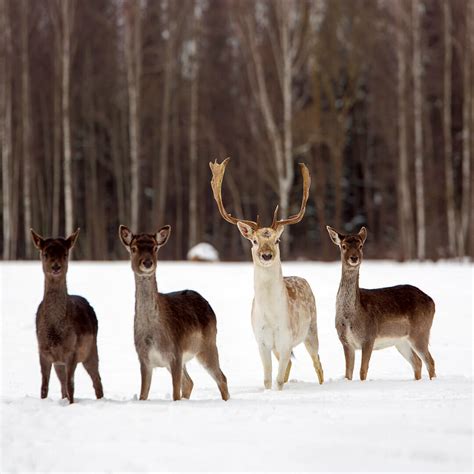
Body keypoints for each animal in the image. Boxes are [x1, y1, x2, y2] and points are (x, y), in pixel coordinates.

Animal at [30, 229, 103, 404]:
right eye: (45, 253)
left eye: (65, 253)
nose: (56, 266)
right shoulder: (43, 350)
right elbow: (44, 387)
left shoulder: (72, 351)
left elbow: (71, 387)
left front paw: (71, 404)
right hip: (60, 362)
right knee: (62, 384)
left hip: (91, 350)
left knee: (97, 380)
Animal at [118, 224, 230, 402]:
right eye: (133, 248)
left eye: (155, 248)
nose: (147, 262)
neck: (152, 335)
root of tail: (206, 302)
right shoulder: (144, 358)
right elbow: (143, 395)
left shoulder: (175, 353)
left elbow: (175, 394)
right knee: (190, 382)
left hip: (208, 345)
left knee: (221, 378)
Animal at [210, 157, 324, 390]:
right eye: (254, 241)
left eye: (277, 240)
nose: (266, 254)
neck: (271, 316)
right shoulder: (261, 340)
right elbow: (268, 378)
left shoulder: (286, 337)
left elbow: (278, 379)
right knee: (291, 363)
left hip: (312, 329)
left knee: (317, 362)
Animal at [328, 225, 436, 382]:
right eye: (343, 246)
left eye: (360, 246)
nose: (354, 258)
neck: (350, 318)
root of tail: (432, 301)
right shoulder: (345, 341)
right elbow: (348, 373)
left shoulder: (369, 337)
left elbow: (363, 371)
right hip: (401, 341)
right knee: (417, 362)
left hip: (420, 331)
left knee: (430, 361)